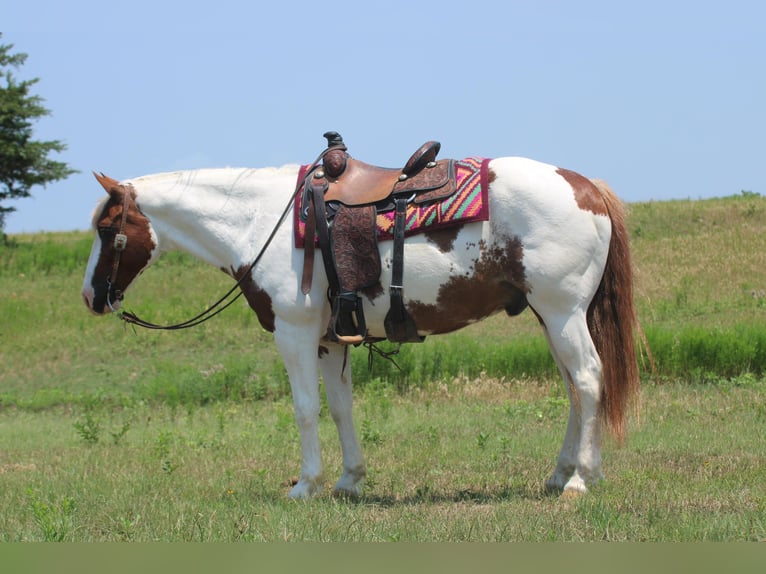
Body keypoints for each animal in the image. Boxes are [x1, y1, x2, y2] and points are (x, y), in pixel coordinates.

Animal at [82, 138, 640, 500]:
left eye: (108, 229)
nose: (91, 295)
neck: (259, 221)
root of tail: (586, 186)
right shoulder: (331, 339)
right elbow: (339, 408)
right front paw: (349, 480)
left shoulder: (294, 333)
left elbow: (305, 408)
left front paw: (305, 485)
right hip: (552, 316)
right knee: (574, 388)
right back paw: (559, 473)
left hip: (563, 312)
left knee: (588, 379)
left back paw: (581, 479)